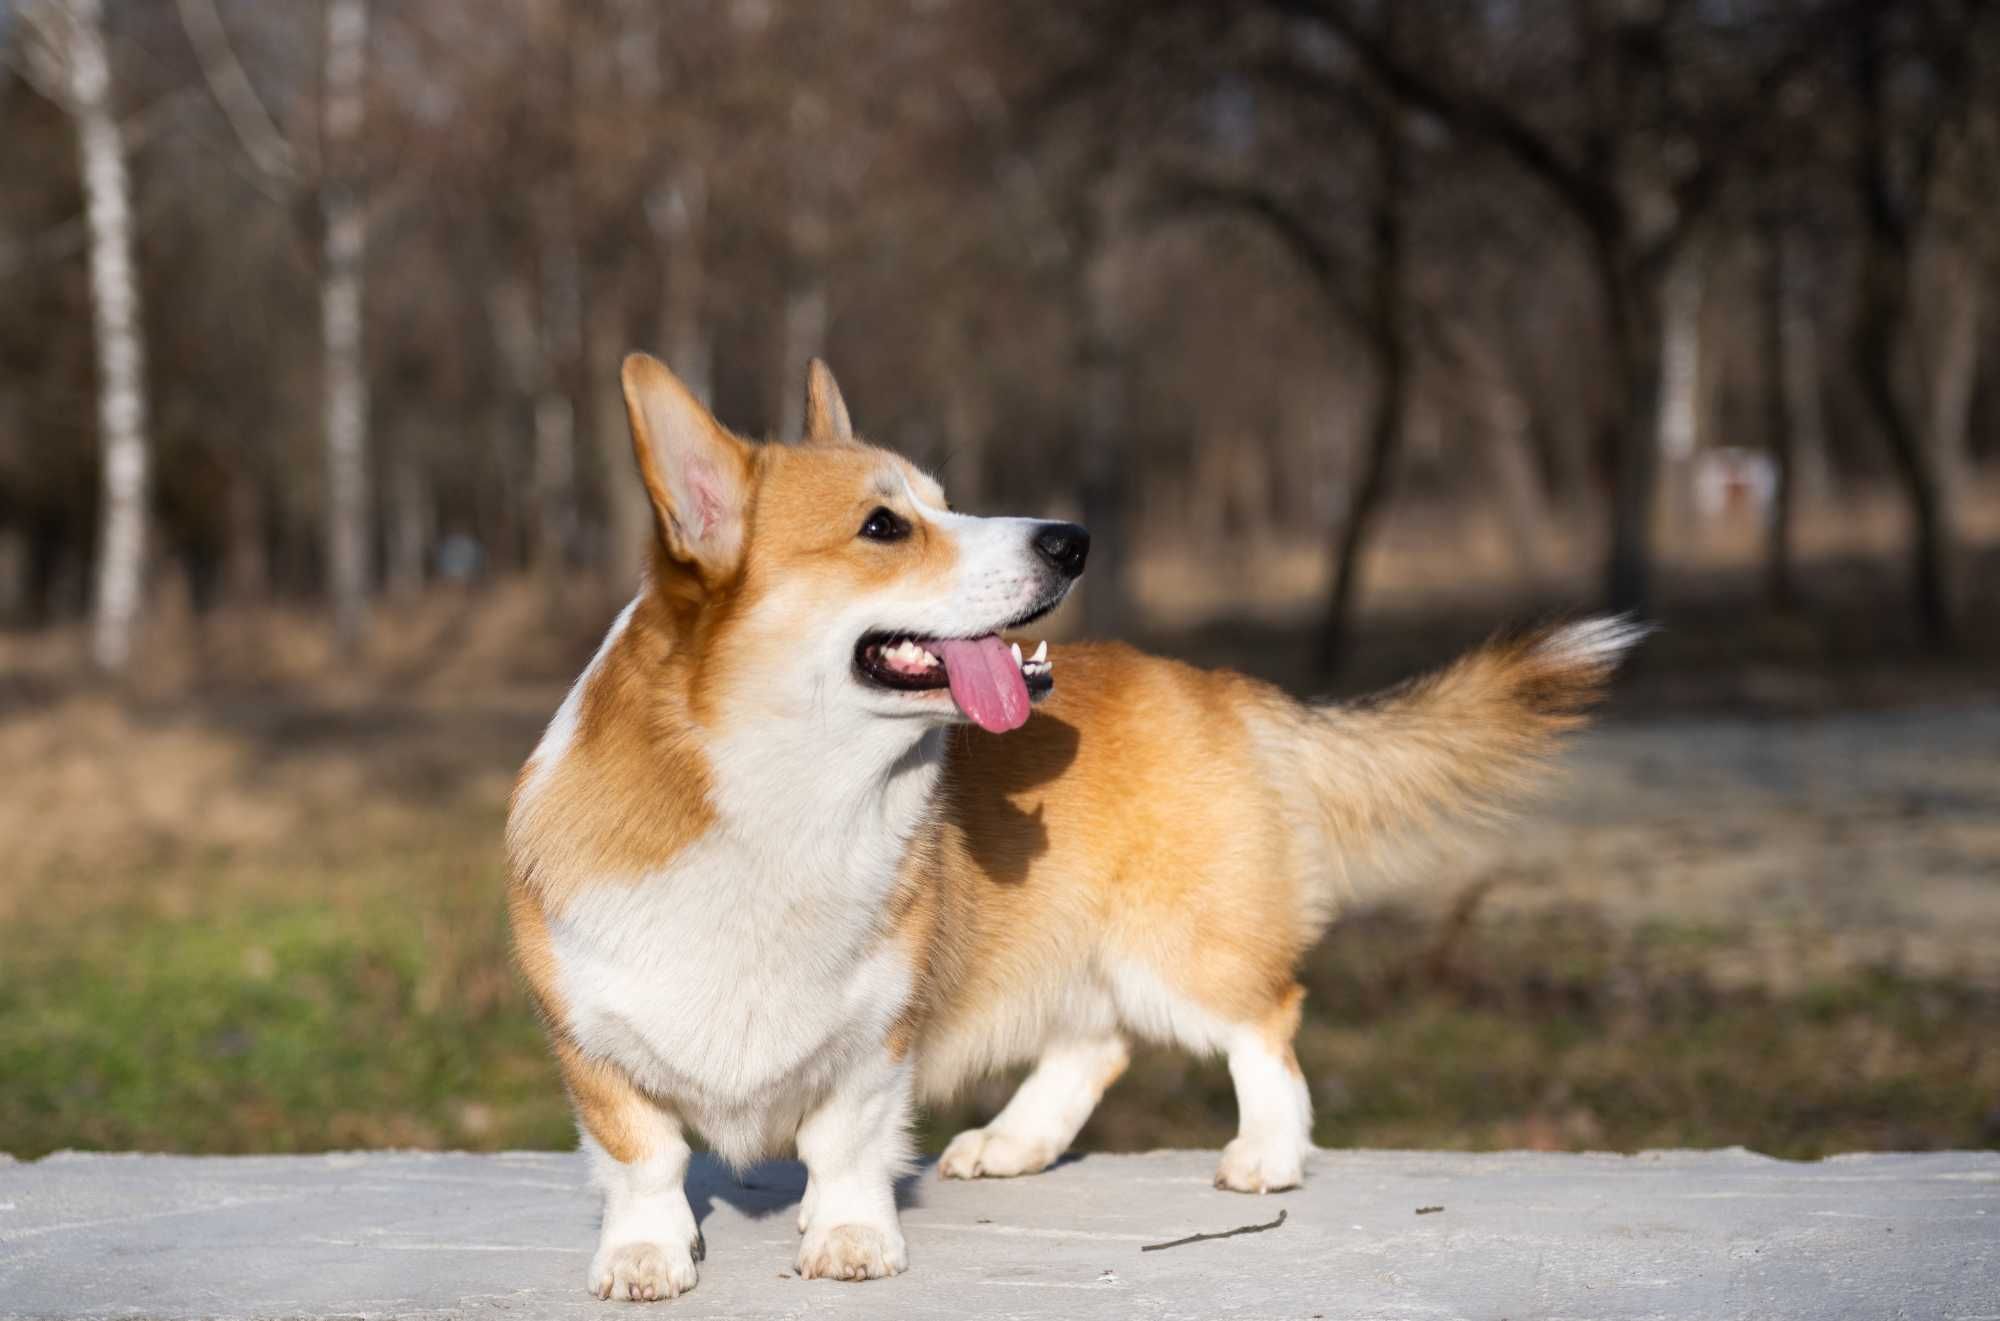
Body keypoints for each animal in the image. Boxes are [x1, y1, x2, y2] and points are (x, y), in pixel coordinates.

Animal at [504, 350, 1640, 1296]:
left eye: (945, 502)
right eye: (884, 526)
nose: (1072, 539)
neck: (789, 803)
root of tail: (1219, 688)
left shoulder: (879, 1030)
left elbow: (844, 1143)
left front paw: (850, 1237)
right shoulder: (591, 1041)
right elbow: (645, 1157)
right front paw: (645, 1253)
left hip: (1179, 947)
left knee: (1263, 1020)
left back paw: (1264, 1156)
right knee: (1097, 1042)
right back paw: (1013, 1140)